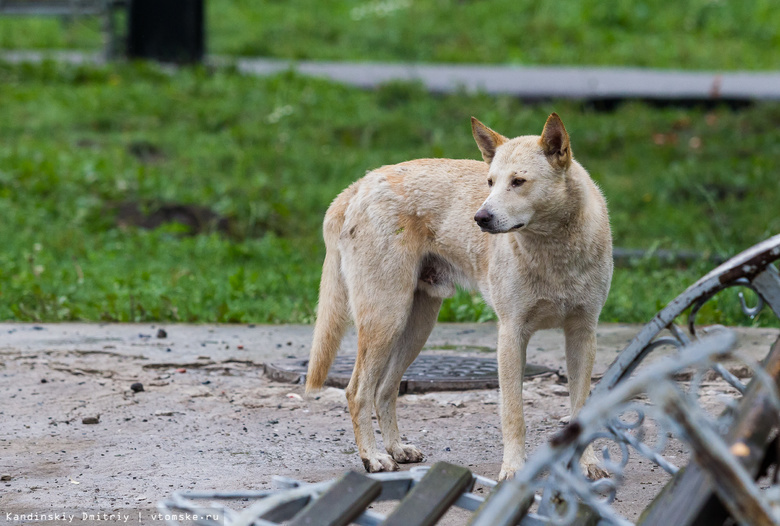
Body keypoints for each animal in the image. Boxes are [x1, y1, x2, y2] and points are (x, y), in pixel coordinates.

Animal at [306, 115, 616, 482]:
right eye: (490, 182)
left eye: (518, 182)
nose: (480, 218)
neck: (552, 251)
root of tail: (361, 183)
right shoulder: (511, 334)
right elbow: (514, 414)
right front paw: (513, 469)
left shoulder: (583, 333)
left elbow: (582, 409)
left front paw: (587, 464)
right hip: (386, 319)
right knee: (357, 392)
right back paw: (374, 457)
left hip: (415, 327)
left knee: (384, 390)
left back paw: (396, 448)